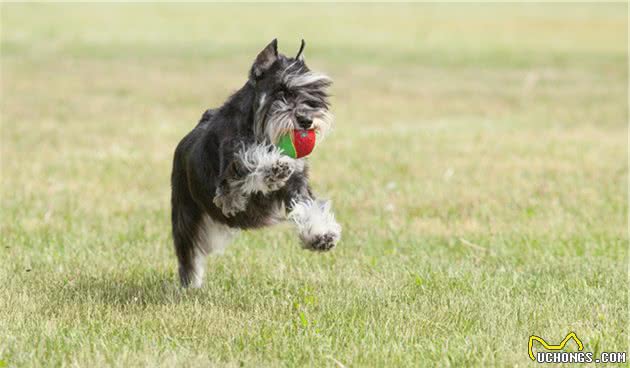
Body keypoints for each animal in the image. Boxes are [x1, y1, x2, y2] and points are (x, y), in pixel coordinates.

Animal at [170, 39, 344, 288]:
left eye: (315, 92)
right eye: (281, 91)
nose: (306, 120)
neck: (260, 131)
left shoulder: (297, 183)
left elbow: (307, 206)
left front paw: (321, 235)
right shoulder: (228, 190)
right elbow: (249, 161)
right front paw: (273, 166)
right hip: (185, 214)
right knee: (188, 253)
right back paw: (190, 284)